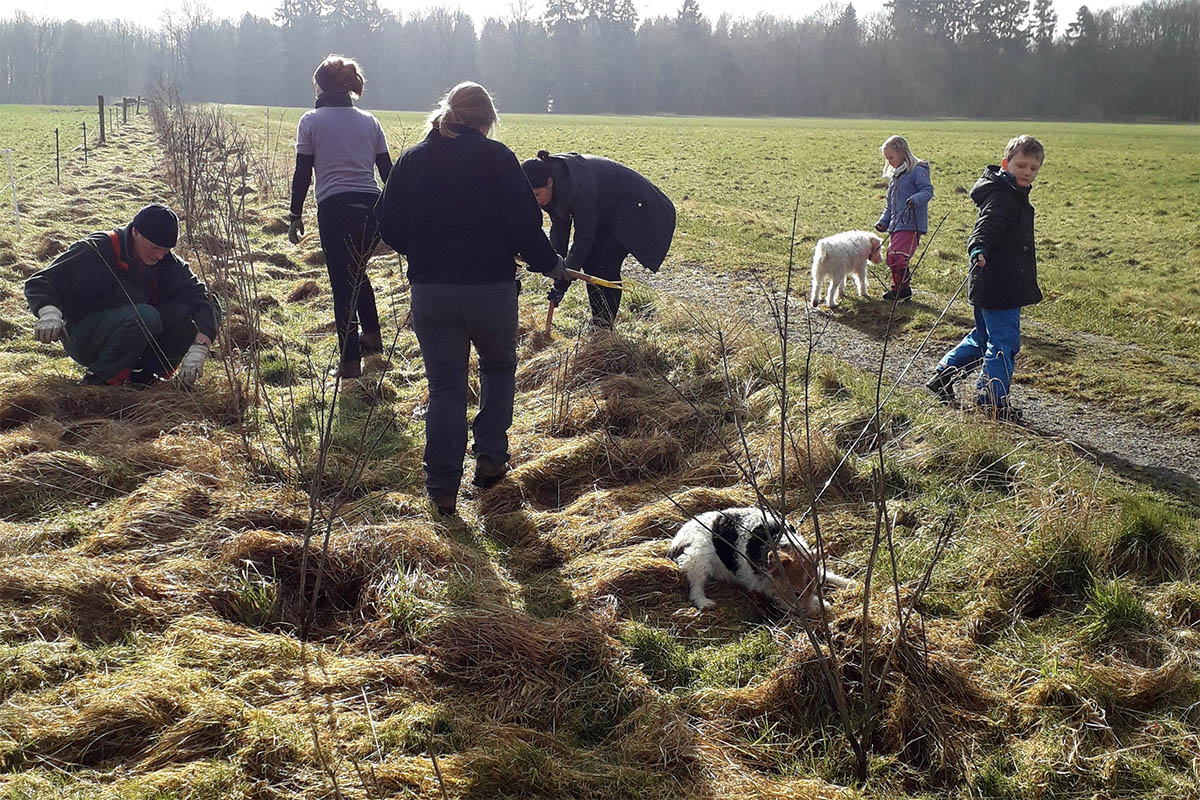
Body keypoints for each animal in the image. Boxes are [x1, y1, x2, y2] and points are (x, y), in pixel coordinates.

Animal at [667, 506, 854, 614]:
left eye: (816, 587)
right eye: (796, 592)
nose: (807, 610)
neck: (775, 541)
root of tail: (677, 539)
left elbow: (826, 573)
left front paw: (849, 583)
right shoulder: (764, 583)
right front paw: (819, 605)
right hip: (698, 557)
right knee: (695, 587)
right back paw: (704, 602)